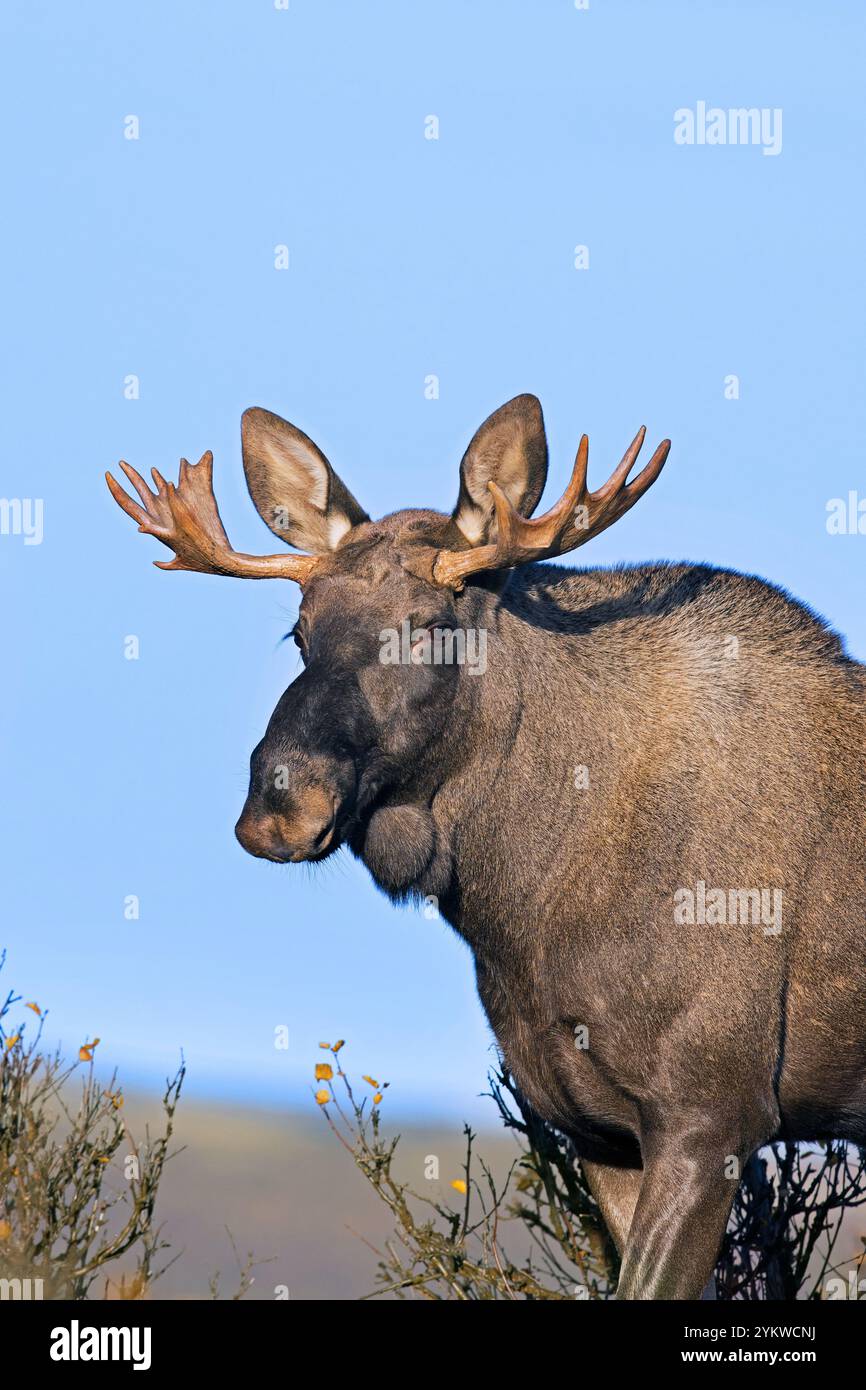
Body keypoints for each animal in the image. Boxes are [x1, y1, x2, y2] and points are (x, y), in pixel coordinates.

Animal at [108, 397, 866, 1295]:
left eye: (431, 627)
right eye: (298, 631)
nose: (280, 804)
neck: (523, 913)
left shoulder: (713, 1110)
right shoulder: (599, 1130)